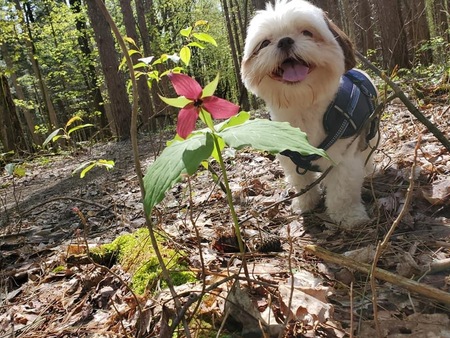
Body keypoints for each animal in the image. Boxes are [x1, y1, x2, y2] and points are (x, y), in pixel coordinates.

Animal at [241, 0, 378, 228]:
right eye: (265, 43)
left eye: (307, 32)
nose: (285, 41)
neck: (303, 107)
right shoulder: (290, 159)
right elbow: (301, 181)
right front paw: (305, 204)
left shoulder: (344, 158)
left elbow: (343, 190)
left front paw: (349, 215)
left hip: (370, 137)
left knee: (367, 155)